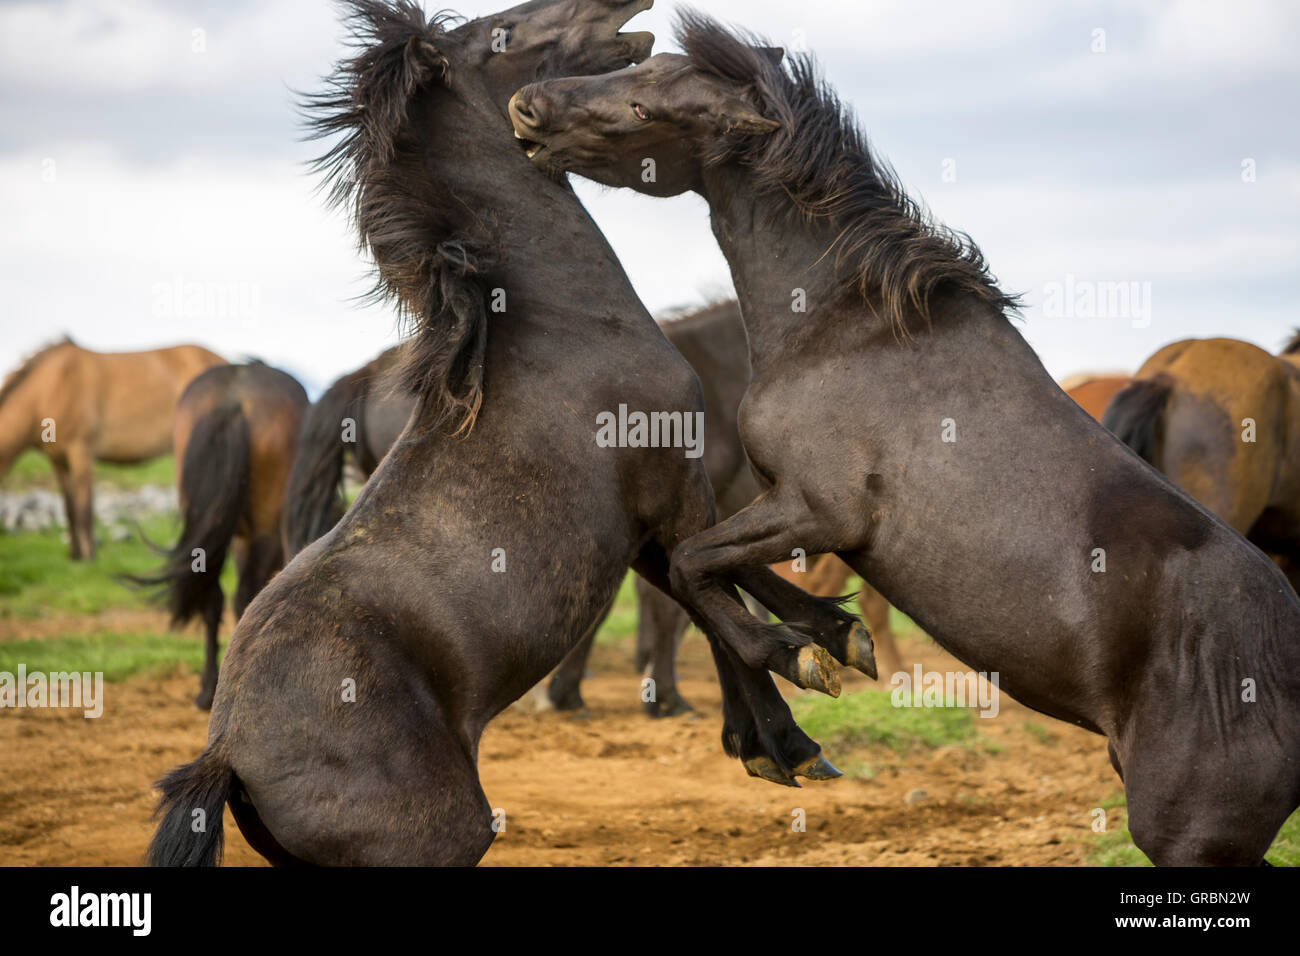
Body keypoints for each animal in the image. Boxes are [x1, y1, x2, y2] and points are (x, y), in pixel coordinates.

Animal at [0, 340, 223, 556]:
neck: (50, 389)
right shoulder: (57, 460)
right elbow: (69, 507)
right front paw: (74, 555)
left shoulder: (81, 450)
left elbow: (84, 505)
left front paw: (89, 556)